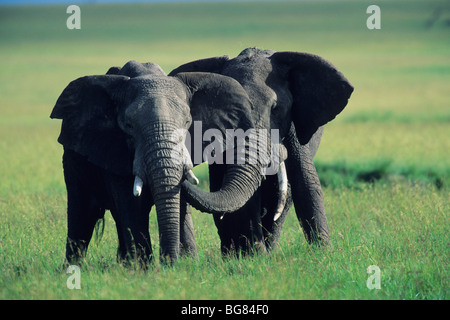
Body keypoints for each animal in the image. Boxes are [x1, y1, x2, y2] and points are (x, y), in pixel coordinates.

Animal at [50, 60, 268, 264]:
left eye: (188, 123)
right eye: (128, 126)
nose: (168, 261)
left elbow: (178, 201)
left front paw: (185, 264)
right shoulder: (115, 152)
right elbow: (131, 205)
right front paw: (144, 269)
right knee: (82, 216)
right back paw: (75, 267)